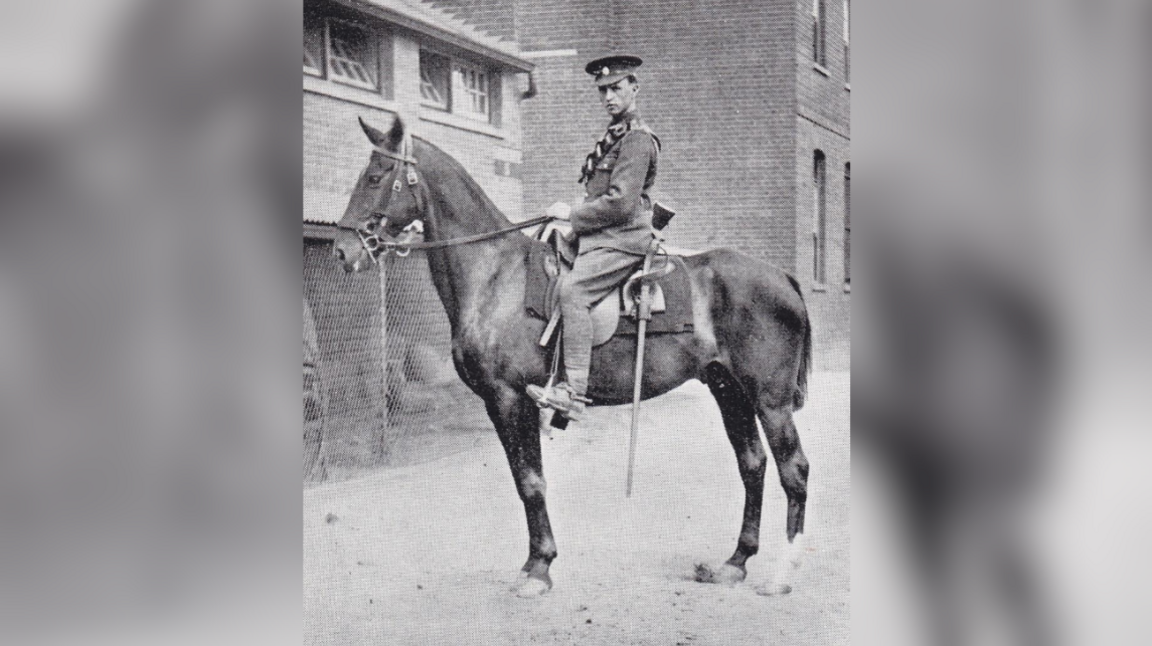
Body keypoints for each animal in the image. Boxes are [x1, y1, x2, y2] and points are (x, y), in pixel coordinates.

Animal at [332, 117, 812, 597]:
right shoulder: (499, 403)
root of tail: (783, 277)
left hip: (770, 400)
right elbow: (523, 479)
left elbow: (531, 482)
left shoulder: (510, 398)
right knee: (753, 463)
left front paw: (539, 568)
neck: (495, 275)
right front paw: (535, 562)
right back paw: (735, 562)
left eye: (375, 176)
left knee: (794, 469)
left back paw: (782, 573)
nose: (342, 251)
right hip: (728, 390)